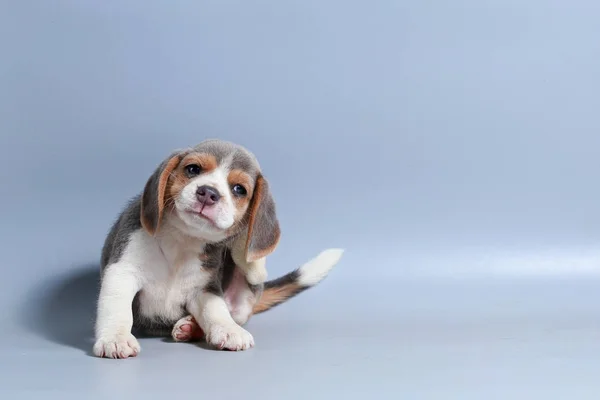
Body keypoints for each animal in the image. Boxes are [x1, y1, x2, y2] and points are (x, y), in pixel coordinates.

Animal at [94, 139, 342, 358]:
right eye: (193, 169)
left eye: (239, 189)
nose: (208, 192)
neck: (184, 239)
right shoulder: (122, 272)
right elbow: (117, 308)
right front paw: (115, 338)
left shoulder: (204, 289)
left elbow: (216, 310)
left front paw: (229, 330)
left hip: (246, 295)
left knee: (245, 286)